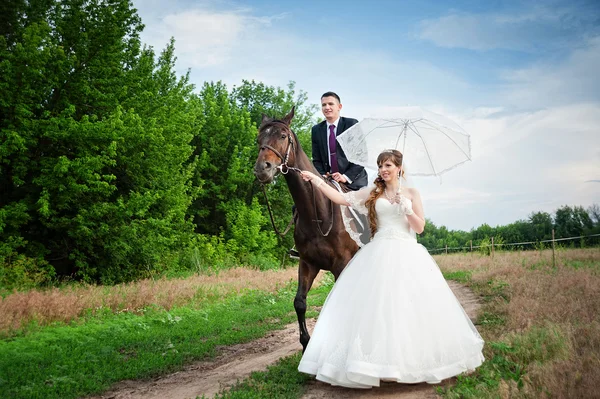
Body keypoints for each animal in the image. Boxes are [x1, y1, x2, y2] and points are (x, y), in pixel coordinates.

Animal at [252, 108, 358, 352]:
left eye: (283, 136)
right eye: (259, 139)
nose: (262, 169)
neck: (318, 212)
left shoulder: (342, 263)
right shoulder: (307, 262)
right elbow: (299, 302)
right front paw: (306, 342)